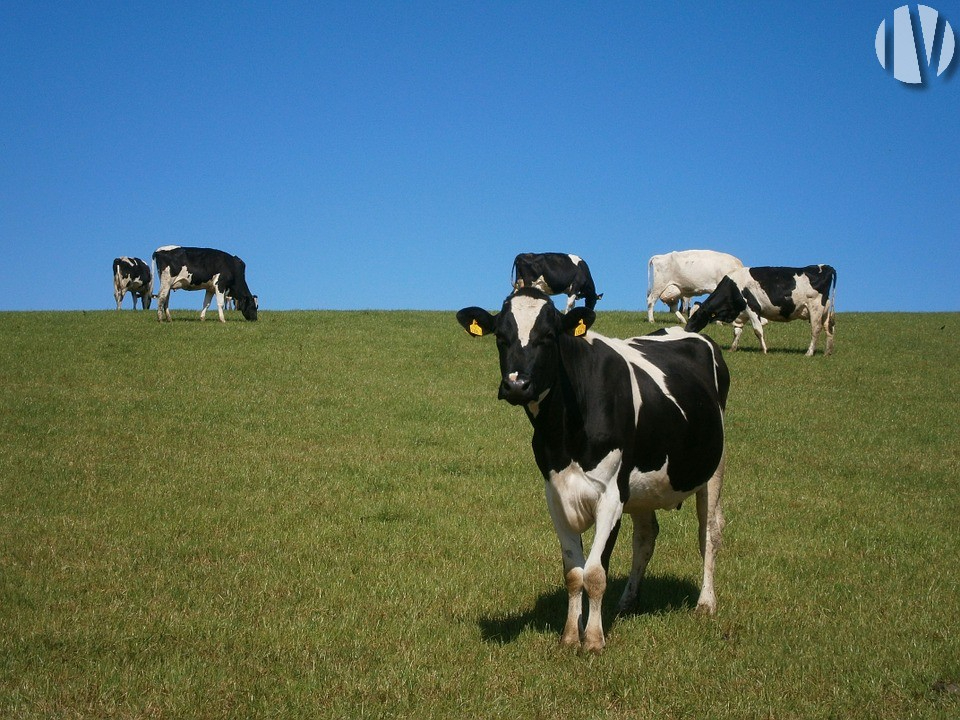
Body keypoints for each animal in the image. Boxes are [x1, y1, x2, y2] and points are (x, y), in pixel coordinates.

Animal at [458, 286, 728, 652]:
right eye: (501, 337)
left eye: (548, 336)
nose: (516, 385)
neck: (563, 431)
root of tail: (689, 332)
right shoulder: (556, 494)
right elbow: (574, 573)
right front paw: (571, 635)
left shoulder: (611, 495)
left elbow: (595, 573)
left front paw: (594, 640)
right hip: (641, 487)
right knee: (645, 537)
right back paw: (628, 601)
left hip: (713, 469)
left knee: (709, 533)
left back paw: (705, 603)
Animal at [688, 262, 836, 356]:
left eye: (696, 317)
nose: (687, 330)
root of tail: (825, 267)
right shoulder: (741, 314)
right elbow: (737, 331)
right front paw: (732, 348)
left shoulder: (752, 308)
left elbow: (757, 330)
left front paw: (764, 350)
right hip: (825, 311)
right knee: (829, 329)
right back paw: (827, 352)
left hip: (815, 308)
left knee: (816, 330)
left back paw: (809, 353)